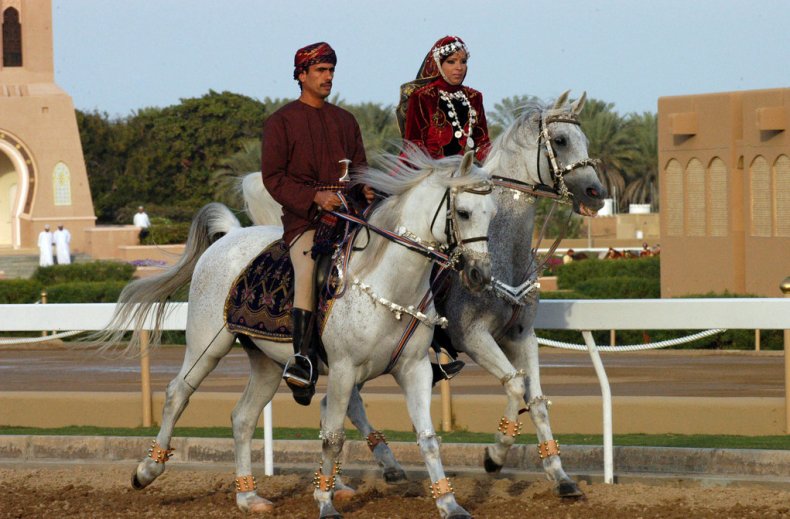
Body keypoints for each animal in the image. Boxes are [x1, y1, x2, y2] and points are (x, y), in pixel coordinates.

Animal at [97, 148, 496, 516]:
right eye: (463, 212)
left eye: (492, 213)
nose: (480, 275)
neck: (389, 284)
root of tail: (231, 236)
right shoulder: (344, 370)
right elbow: (333, 437)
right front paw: (325, 501)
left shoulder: (414, 368)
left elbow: (427, 438)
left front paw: (449, 503)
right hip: (207, 346)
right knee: (177, 393)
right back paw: (147, 470)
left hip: (268, 364)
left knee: (242, 417)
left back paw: (248, 497)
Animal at [244, 91, 608, 498]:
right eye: (559, 140)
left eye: (585, 139)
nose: (596, 193)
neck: (502, 255)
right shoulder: (472, 336)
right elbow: (515, 384)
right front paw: (494, 456)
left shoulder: (521, 335)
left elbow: (537, 400)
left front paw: (561, 477)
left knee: (337, 403)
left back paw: (383, 466)